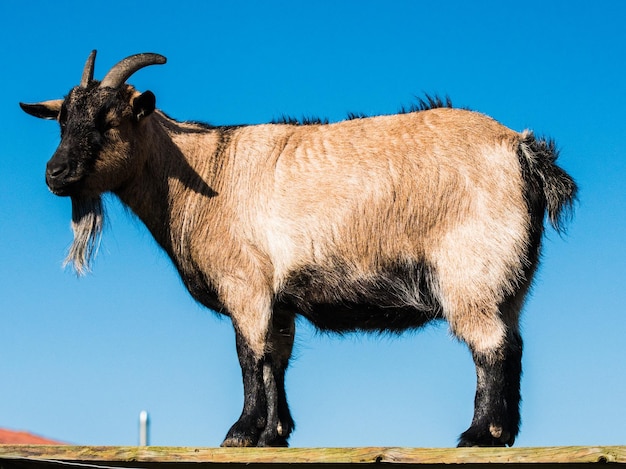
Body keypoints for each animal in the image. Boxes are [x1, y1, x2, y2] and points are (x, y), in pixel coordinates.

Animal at [19, 50, 576, 446]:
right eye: (62, 120)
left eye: (109, 121)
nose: (55, 174)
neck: (203, 172)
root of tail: (523, 150)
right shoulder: (278, 297)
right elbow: (275, 359)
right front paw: (274, 433)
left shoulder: (246, 284)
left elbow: (249, 353)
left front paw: (241, 433)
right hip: (510, 278)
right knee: (514, 342)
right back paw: (506, 434)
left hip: (473, 269)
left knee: (491, 346)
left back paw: (481, 435)